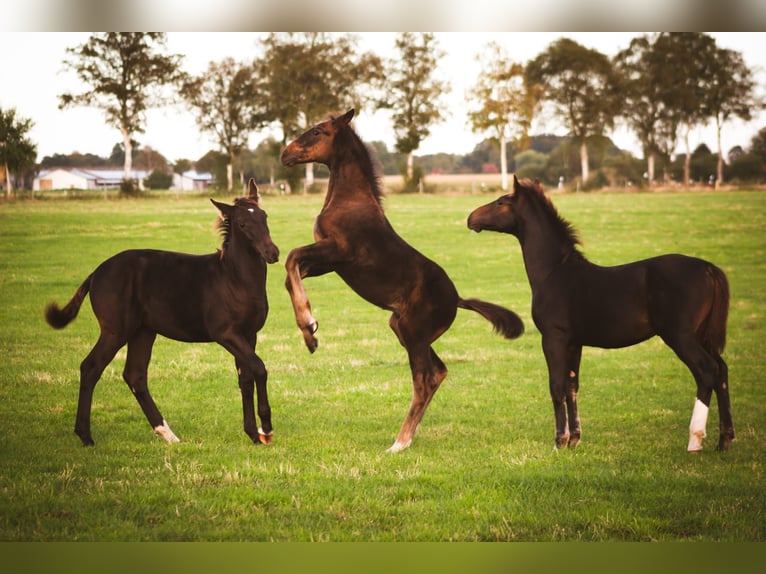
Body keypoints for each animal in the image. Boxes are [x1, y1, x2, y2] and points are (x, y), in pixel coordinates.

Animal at [44, 179, 280, 447]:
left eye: (264, 216)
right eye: (242, 223)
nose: (272, 253)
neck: (234, 279)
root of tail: (95, 274)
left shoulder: (249, 335)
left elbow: (246, 379)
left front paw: (253, 433)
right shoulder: (226, 334)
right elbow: (259, 368)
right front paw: (266, 429)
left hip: (143, 332)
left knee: (135, 375)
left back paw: (166, 433)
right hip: (115, 331)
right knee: (91, 368)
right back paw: (85, 435)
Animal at [280, 109, 524, 452]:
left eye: (317, 131)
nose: (285, 154)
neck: (348, 200)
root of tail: (457, 299)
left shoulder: (338, 251)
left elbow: (291, 257)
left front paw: (309, 323)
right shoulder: (329, 263)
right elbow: (292, 274)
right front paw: (309, 334)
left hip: (414, 333)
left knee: (426, 379)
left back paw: (400, 441)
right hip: (404, 329)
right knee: (439, 372)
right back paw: (406, 437)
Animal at [467, 175, 733, 452]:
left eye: (501, 202)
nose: (470, 218)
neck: (554, 272)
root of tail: (708, 268)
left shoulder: (553, 339)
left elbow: (557, 387)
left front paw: (559, 442)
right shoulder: (574, 343)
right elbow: (572, 386)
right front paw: (574, 439)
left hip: (681, 337)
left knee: (707, 372)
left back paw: (695, 440)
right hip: (702, 336)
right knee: (722, 371)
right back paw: (724, 440)